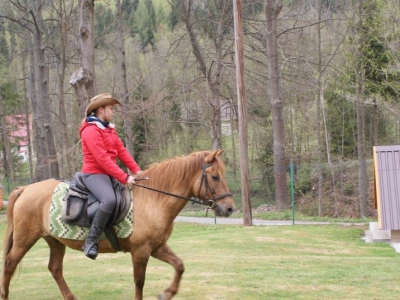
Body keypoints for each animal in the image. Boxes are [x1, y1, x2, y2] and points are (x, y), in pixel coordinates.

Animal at [0, 150, 236, 300]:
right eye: (215, 177)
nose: (230, 209)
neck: (153, 199)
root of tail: (25, 189)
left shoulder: (157, 248)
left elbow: (179, 265)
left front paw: (166, 293)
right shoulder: (141, 251)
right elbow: (139, 283)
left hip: (54, 240)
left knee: (55, 268)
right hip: (25, 239)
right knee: (10, 264)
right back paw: (5, 295)